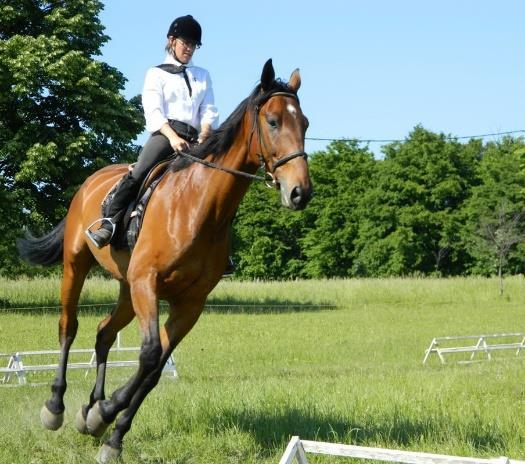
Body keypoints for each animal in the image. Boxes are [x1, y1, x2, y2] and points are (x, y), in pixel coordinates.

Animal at [17, 59, 312, 462]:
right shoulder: (149, 283)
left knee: (104, 332)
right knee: (68, 326)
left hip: (127, 288)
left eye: (305, 124)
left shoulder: (189, 303)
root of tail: (92, 179)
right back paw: (56, 407)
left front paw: (109, 427)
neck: (200, 209)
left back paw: (90, 408)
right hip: (77, 266)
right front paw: (106, 415)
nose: (300, 193)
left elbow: (154, 368)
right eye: (273, 121)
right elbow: (150, 354)